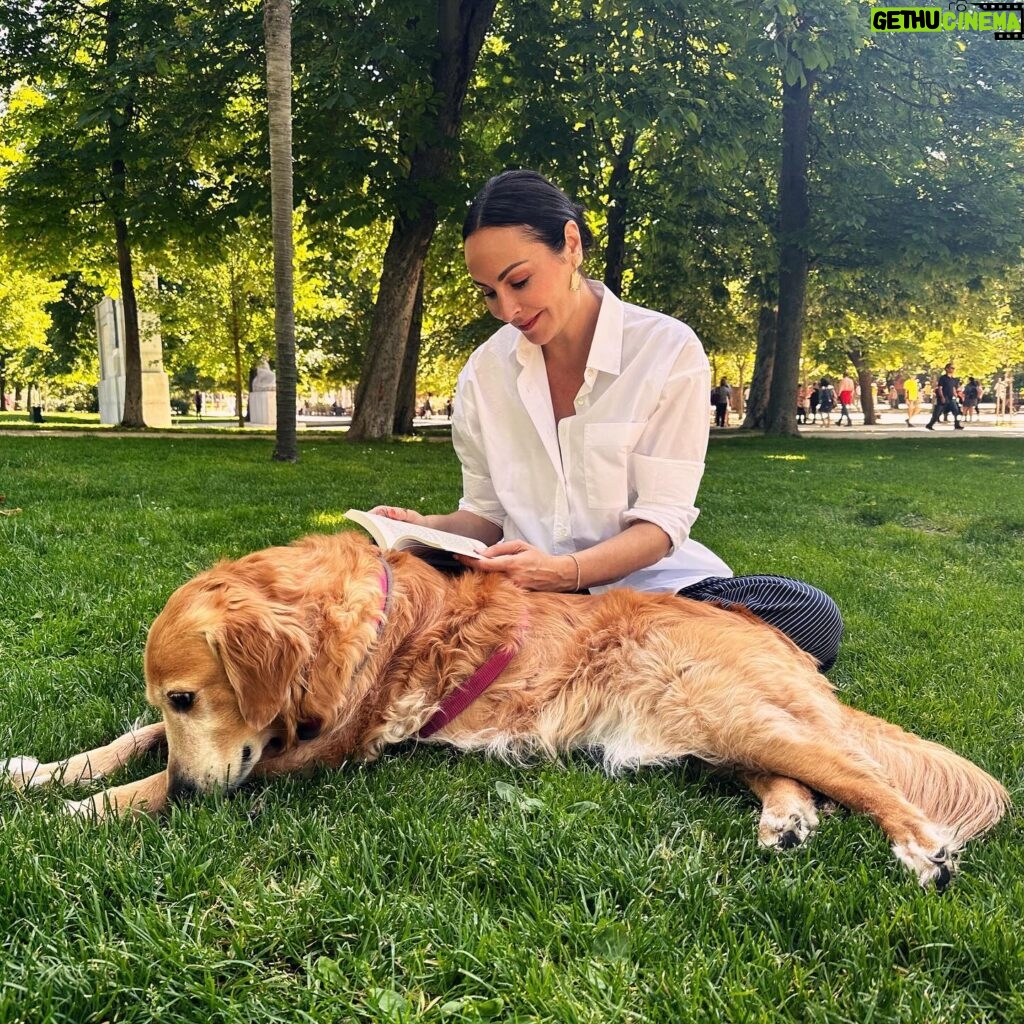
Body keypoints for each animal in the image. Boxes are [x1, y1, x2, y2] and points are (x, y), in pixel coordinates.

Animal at [0, 532, 1007, 884]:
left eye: (189, 695)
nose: (199, 794)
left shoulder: (316, 753)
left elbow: (150, 782)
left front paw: (84, 812)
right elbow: (131, 743)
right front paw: (46, 772)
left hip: (732, 714)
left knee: (864, 775)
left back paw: (921, 849)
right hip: (705, 735)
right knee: (798, 778)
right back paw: (785, 825)